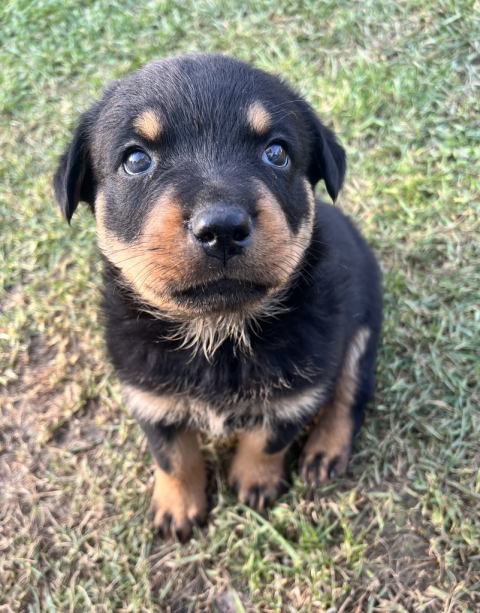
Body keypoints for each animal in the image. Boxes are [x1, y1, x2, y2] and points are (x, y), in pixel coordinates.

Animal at [52, 53, 382, 540]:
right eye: (136, 160)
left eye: (276, 152)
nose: (222, 228)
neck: (219, 331)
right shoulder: (149, 396)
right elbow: (172, 456)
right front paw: (178, 506)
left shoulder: (299, 391)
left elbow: (267, 441)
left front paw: (253, 481)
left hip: (363, 330)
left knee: (349, 396)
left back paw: (326, 450)